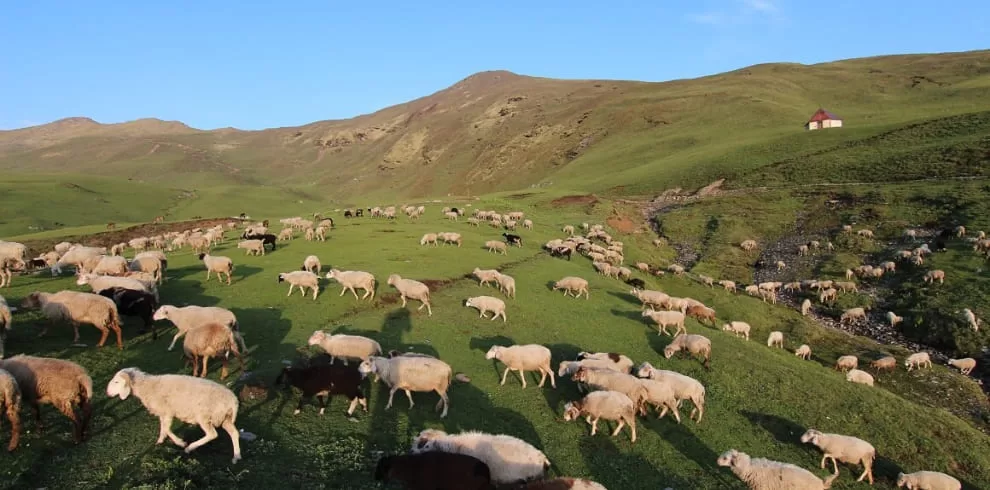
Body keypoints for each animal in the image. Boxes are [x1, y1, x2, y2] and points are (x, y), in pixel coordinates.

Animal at [106, 368, 242, 464]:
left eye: (117, 381)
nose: (107, 393)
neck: (147, 387)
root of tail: (233, 401)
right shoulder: (163, 413)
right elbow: (163, 429)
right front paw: (160, 441)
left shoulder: (167, 412)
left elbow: (166, 429)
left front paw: (180, 443)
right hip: (225, 418)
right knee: (234, 433)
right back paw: (236, 456)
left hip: (204, 416)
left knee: (212, 434)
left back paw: (189, 448)